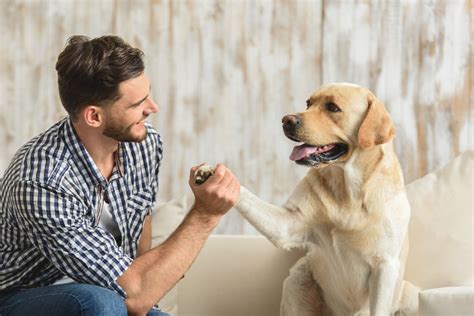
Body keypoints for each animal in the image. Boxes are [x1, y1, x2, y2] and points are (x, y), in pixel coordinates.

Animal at [194, 83, 416, 316]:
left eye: (332, 107)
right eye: (308, 103)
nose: (286, 120)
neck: (348, 191)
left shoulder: (385, 265)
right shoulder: (288, 224)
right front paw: (210, 173)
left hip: (410, 294)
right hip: (297, 278)